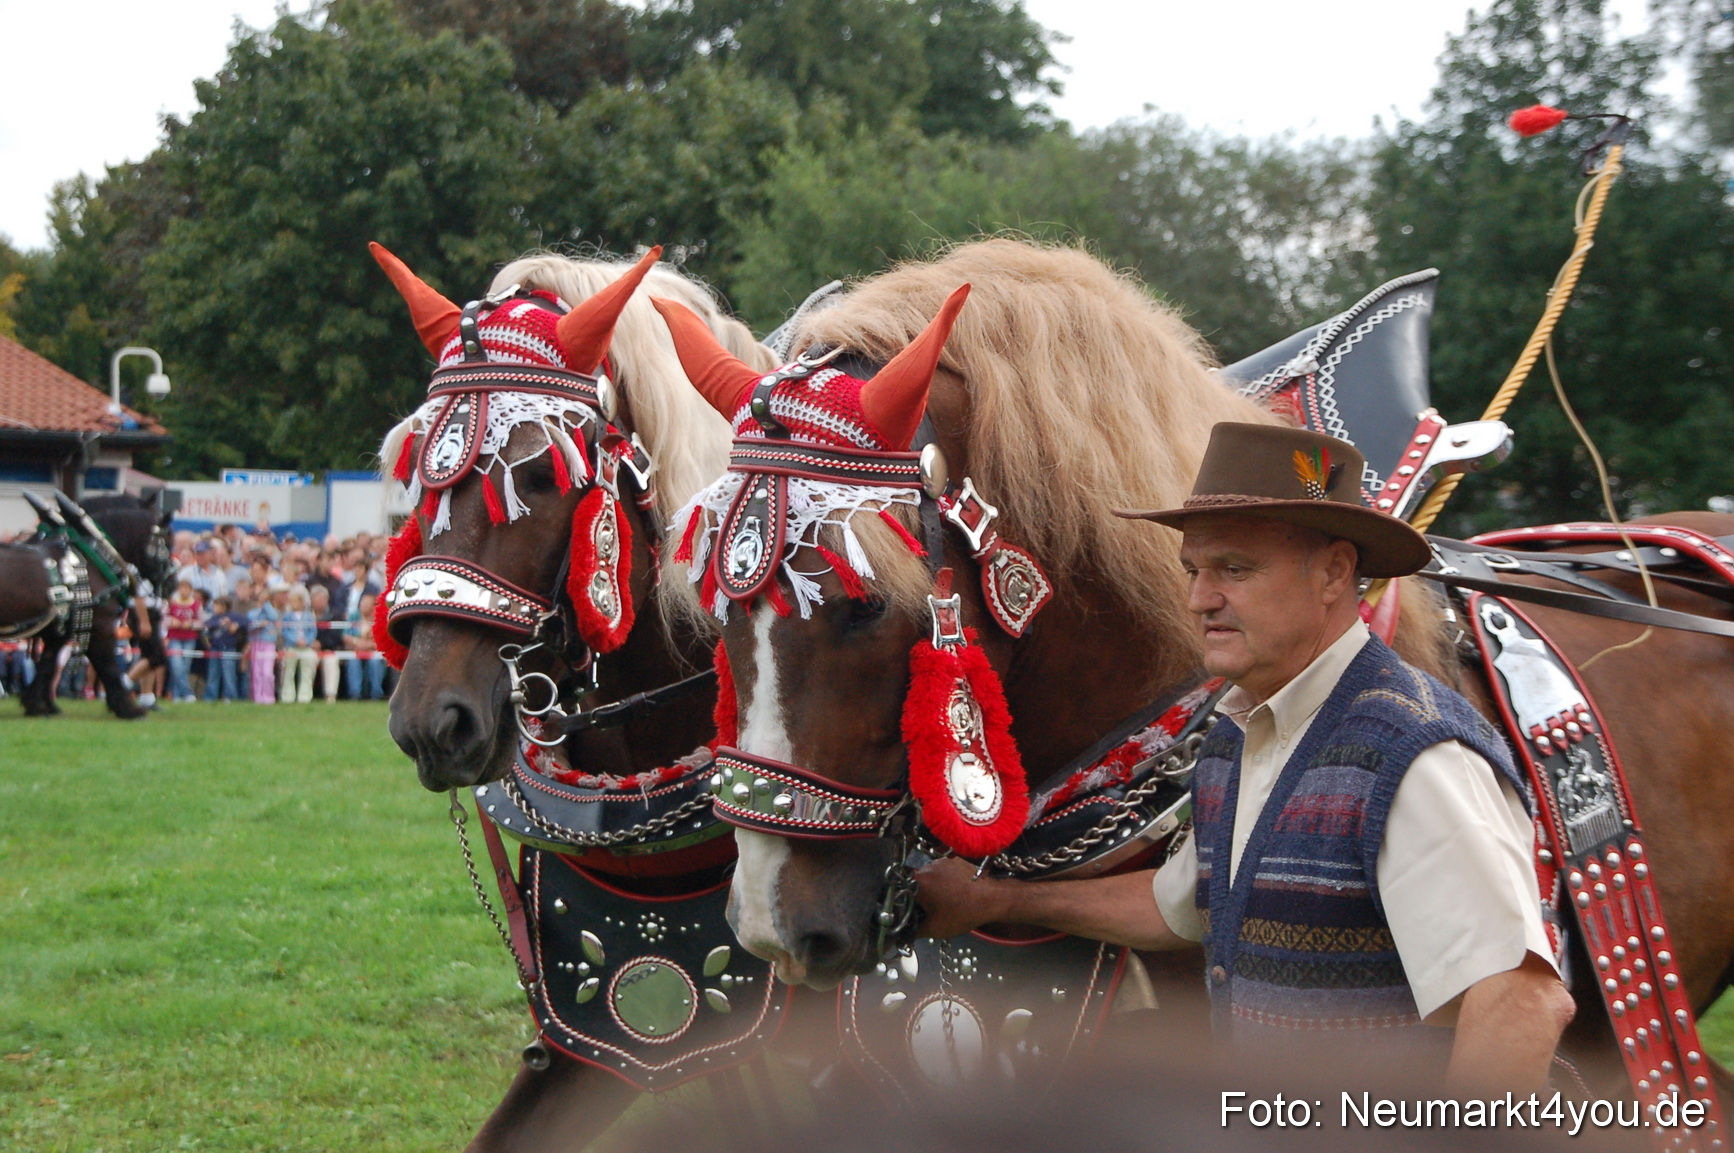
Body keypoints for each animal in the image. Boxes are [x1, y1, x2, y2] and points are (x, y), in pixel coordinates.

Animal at [1, 491, 172, 719]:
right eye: (168, 542)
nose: (171, 584)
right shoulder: (100, 624)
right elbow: (108, 665)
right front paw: (129, 708)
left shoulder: (61, 628)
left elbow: (48, 663)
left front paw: (38, 704)